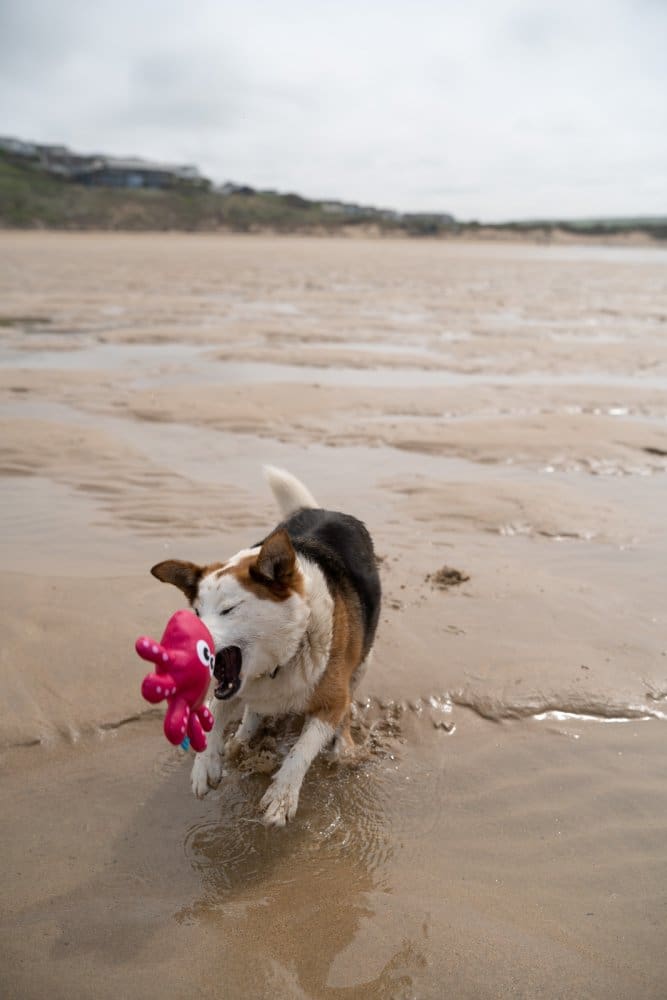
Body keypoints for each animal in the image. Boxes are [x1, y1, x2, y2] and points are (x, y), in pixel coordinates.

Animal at [150, 466, 381, 826]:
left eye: (229, 609)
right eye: (197, 613)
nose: (186, 643)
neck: (286, 653)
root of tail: (321, 510)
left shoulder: (332, 701)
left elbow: (302, 750)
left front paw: (282, 796)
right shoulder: (231, 686)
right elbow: (216, 712)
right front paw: (206, 764)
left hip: (362, 663)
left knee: (345, 712)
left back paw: (343, 747)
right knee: (252, 710)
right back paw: (242, 739)